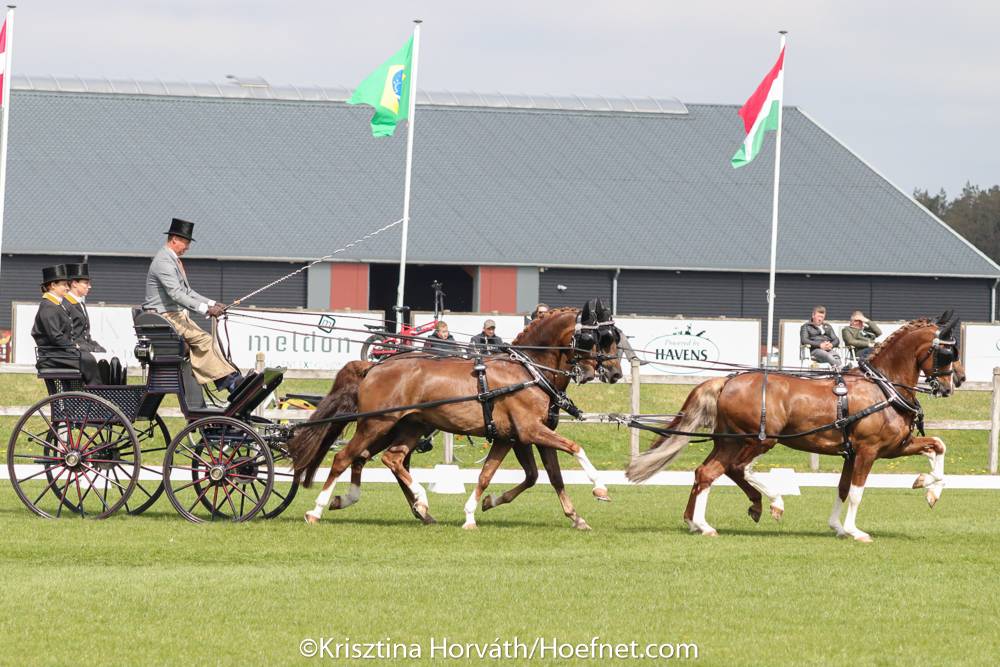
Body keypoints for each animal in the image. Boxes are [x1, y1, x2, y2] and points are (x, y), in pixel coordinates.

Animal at [286, 299, 624, 529]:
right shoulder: (530, 431)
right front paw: (600, 488)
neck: (529, 370)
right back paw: (318, 509)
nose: (615, 373)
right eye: (594, 339)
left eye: (615, 337)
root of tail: (375, 365)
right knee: (346, 458)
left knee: (388, 459)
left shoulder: (515, 438)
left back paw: (418, 505)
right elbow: (574, 449)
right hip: (376, 424)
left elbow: (534, 476)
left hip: (409, 426)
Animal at [626, 311, 959, 542]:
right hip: (760, 440)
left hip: (729, 441)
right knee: (733, 469)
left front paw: (928, 488)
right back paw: (766, 504)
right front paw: (854, 531)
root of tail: (727, 380)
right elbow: (856, 492)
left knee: (707, 473)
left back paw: (701, 521)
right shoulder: (868, 450)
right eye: (946, 353)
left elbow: (937, 446)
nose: (952, 384)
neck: (882, 389)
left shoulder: (884, 449)